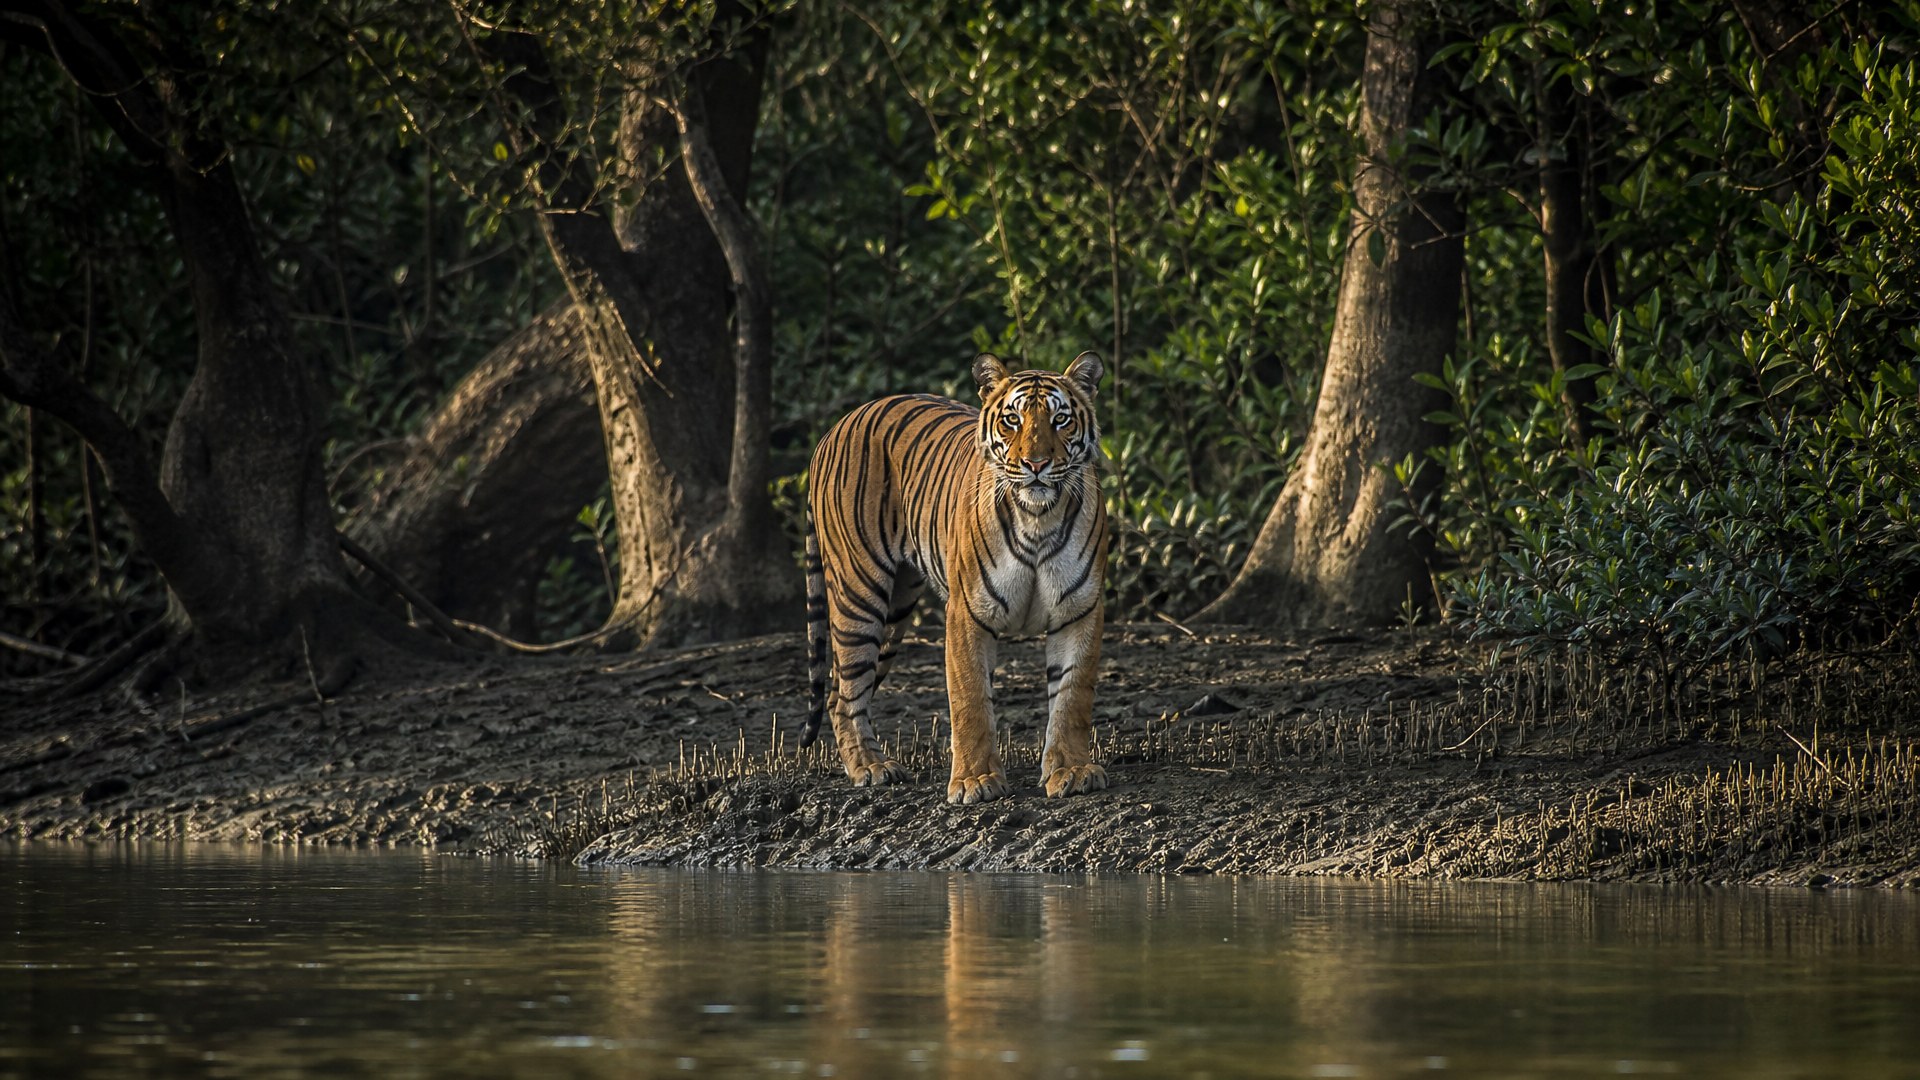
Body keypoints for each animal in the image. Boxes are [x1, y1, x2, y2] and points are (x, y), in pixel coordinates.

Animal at [800, 351, 1110, 804]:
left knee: (844, 684)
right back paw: (871, 768)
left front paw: (1072, 771)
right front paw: (974, 782)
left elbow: (1072, 696)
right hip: (859, 591)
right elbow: (970, 700)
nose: (1036, 465)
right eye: (1012, 420)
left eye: (1061, 420)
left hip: (896, 609)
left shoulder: (1079, 609)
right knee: (845, 694)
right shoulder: (967, 612)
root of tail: (834, 428)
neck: (1038, 517)